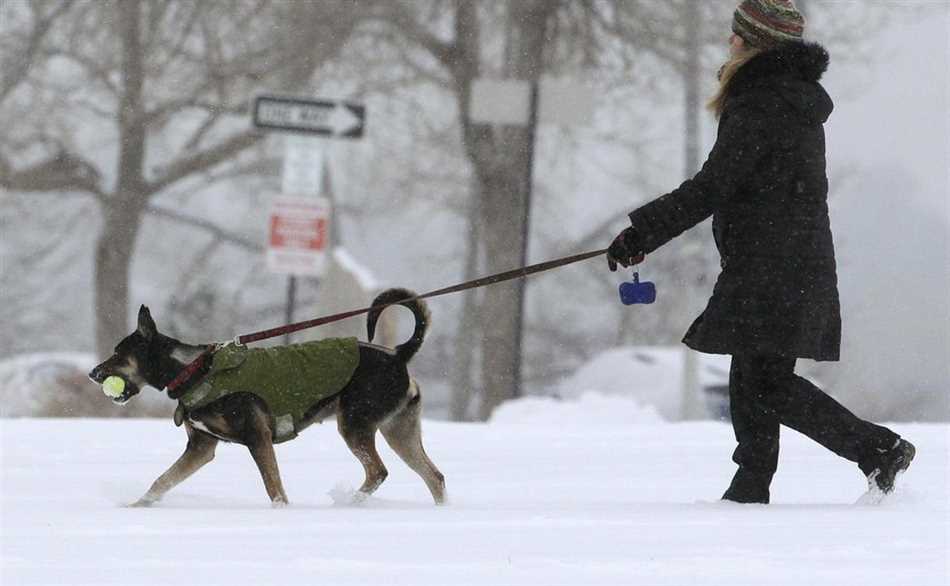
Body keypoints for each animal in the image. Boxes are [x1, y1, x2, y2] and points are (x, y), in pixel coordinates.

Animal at [89, 288, 446, 506]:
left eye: (118, 354)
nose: (92, 373)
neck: (192, 370)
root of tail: (398, 356)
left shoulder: (256, 438)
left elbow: (274, 488)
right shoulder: (201, 448)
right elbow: (162, 481)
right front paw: (135, 506)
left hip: (355, 424)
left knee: (378, 472)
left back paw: (350, 504)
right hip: (400, 431)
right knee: (434, 476)